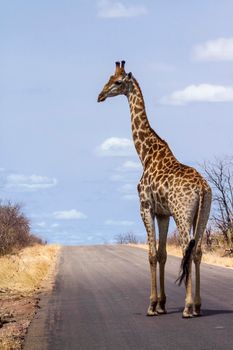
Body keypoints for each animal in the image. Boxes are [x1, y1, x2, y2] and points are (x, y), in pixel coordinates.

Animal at [97, 61, 212, 318]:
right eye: (108, 78)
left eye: (117, 82)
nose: (100, 95)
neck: (146, 154)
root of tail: (202, 187)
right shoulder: (162, 213)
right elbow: (162, 254)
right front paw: (162, 304)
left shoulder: (145, 206)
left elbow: (151, 254)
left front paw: (151, 305)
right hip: (203, 215)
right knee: (198, 251)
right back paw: (198, 306)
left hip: (182, 214)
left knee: (187, 249)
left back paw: (188, 308)